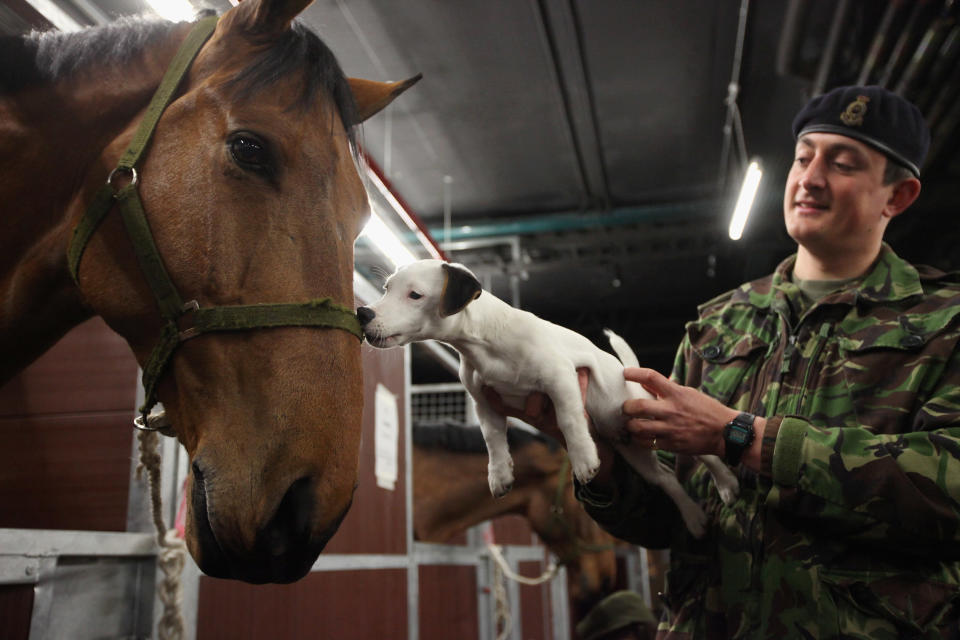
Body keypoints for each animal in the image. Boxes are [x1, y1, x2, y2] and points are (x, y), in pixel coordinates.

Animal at [356, 258, 740, 536]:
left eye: (415, 295)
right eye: (387, 288)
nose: (363, 313)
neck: (483, 342)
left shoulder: (560, 379)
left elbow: (570, 421)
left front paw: (584, 460)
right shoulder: (484, 403)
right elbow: (494, 442)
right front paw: (499, 475)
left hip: (655, 416)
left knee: (704, 451)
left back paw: (727, 484)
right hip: (636, 451)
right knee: (667, 478)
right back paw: (694, 518)